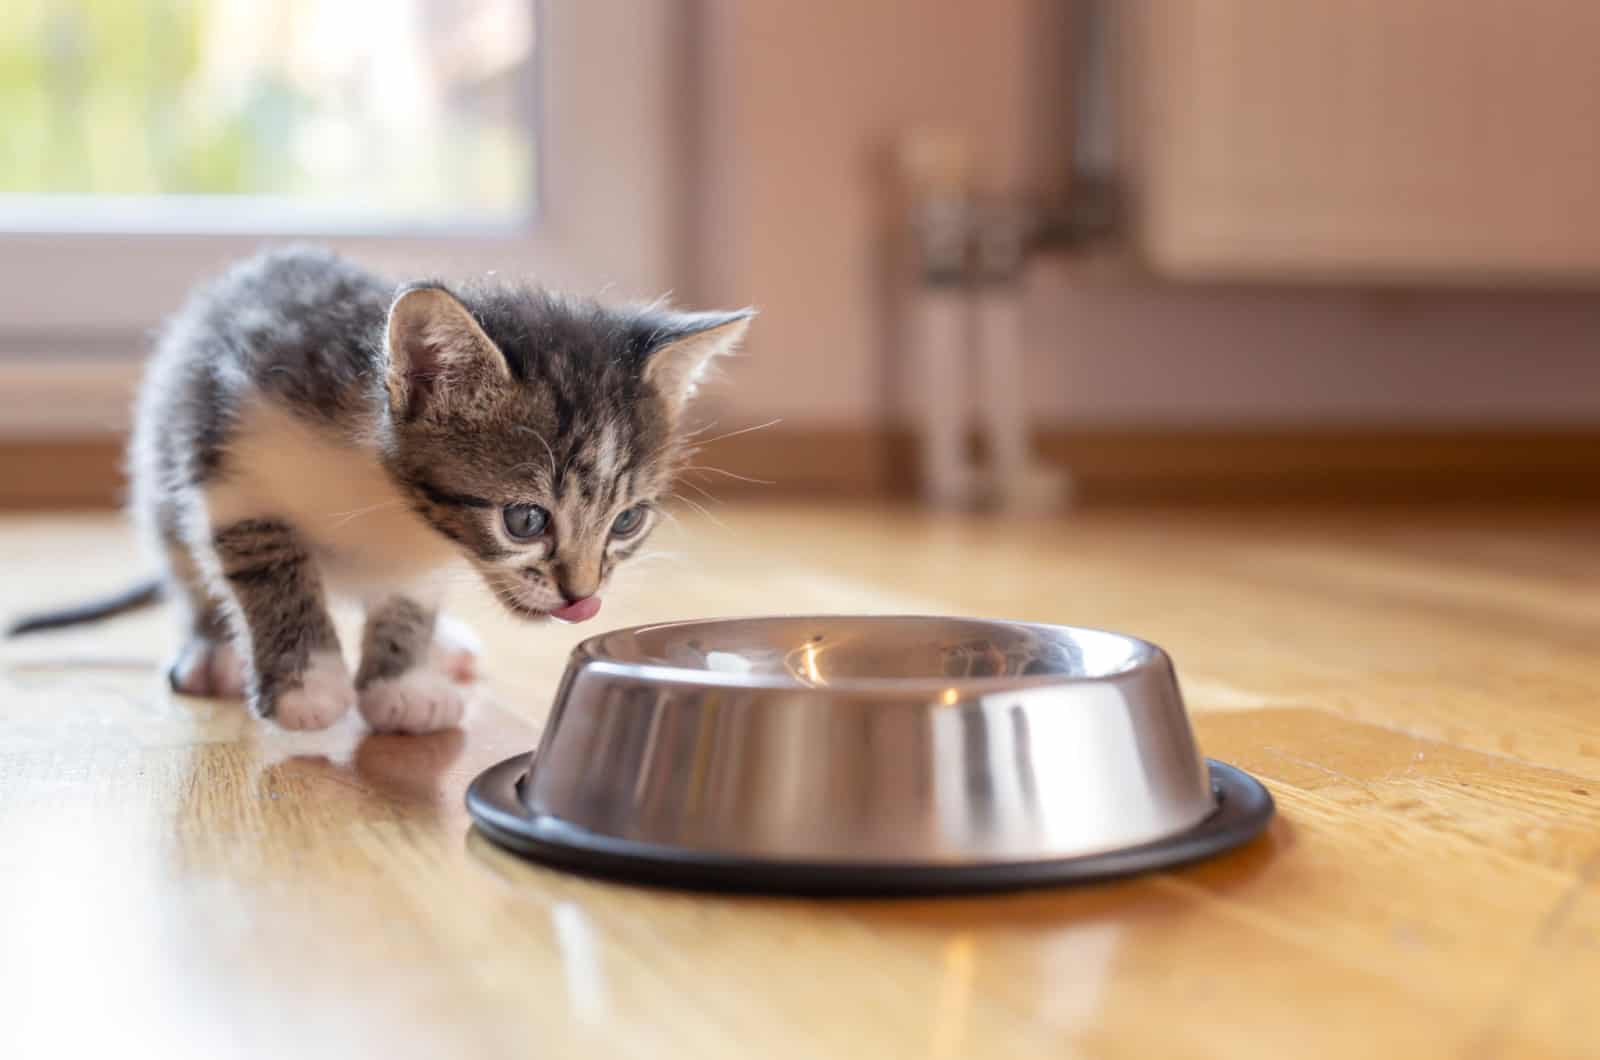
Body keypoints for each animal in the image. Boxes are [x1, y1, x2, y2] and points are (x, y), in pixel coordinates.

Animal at [3, 244, 752, 736]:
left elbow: (408, 600)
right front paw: (308, 684)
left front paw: (401, 682)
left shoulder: (416, 554)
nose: (583, 599)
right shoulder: (232, 470)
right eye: (526, 520)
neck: (381, 490)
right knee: (187, 568)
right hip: (160, 463)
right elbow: (271, 571)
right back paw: (213, 651)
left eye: (626, 522)